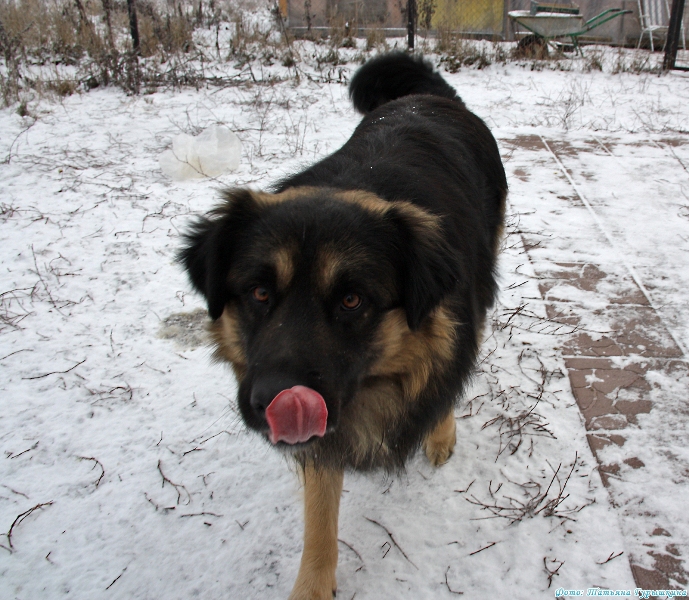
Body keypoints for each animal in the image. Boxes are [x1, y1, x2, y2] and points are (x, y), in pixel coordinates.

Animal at [180, 54, 508, 596]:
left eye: (351, 301)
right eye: (259, 292)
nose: (274, 399)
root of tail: (430, 96)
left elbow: (445, 381)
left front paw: (438, 432)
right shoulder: (322, 428)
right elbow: (320, 510)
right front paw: (313, 582)